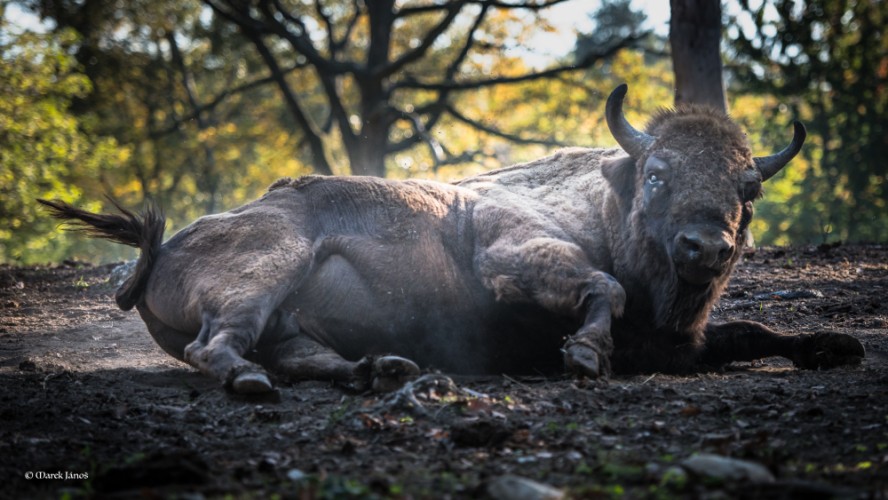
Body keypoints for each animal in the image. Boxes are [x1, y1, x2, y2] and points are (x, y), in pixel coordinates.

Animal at [40, 84, 860, 392]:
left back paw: (383, 369)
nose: (706, 247)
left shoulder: (683, 341)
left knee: (297, 352)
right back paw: (256, 381)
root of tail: (162, 251)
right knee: (222, 346)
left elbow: (752, 330)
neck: (605, 202)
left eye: (749, 191)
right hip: (265, 272)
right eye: (657, 174)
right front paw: (584, 354)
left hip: (285, 314)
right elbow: (603, 287)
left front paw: (836, 346)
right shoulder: (514, 255)